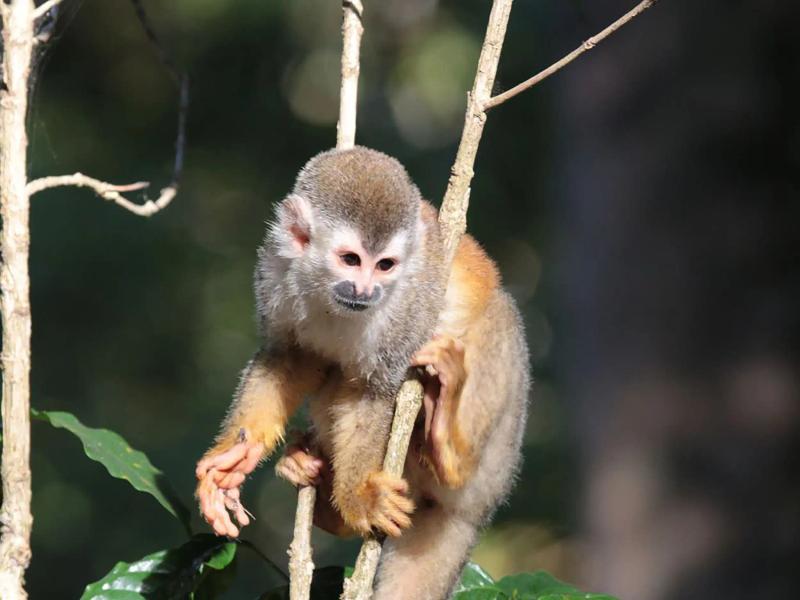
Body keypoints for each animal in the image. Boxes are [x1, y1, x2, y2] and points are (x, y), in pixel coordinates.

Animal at [195, 146, 530, 600]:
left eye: (386, 265)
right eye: (351, 260)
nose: (365, 291)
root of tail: (475, 512)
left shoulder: (410, 302)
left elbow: (376, 392)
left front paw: (357, 499)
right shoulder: (275, 266)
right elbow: (289, 357)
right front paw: (235, 457)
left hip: (497, 459)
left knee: (498, 316)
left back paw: (447, 445)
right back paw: (317, 490)